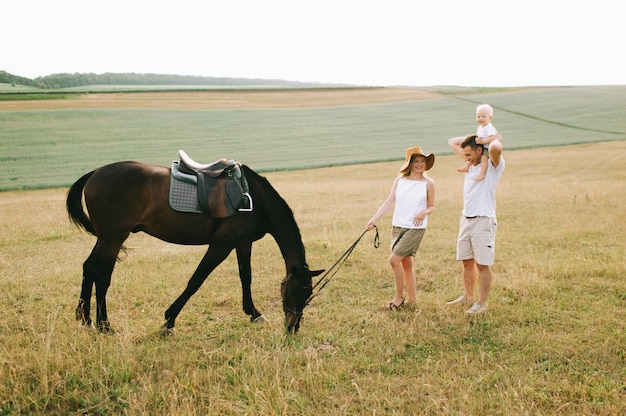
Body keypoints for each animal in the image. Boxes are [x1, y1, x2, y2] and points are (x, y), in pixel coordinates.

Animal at [64, 157, 322, 334]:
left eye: (308, 294)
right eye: (296, 292)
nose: (293, 327)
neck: (254, 200)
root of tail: (96, 173)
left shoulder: (242, 243)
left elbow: (245, 276)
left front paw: (254, 313)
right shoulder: (221, 245)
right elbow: (196, 280)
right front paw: (169, 320)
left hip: (105, 239)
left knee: (89, 269)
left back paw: (86, 319)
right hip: (114, 239)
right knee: (102, 276)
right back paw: (104, 325)